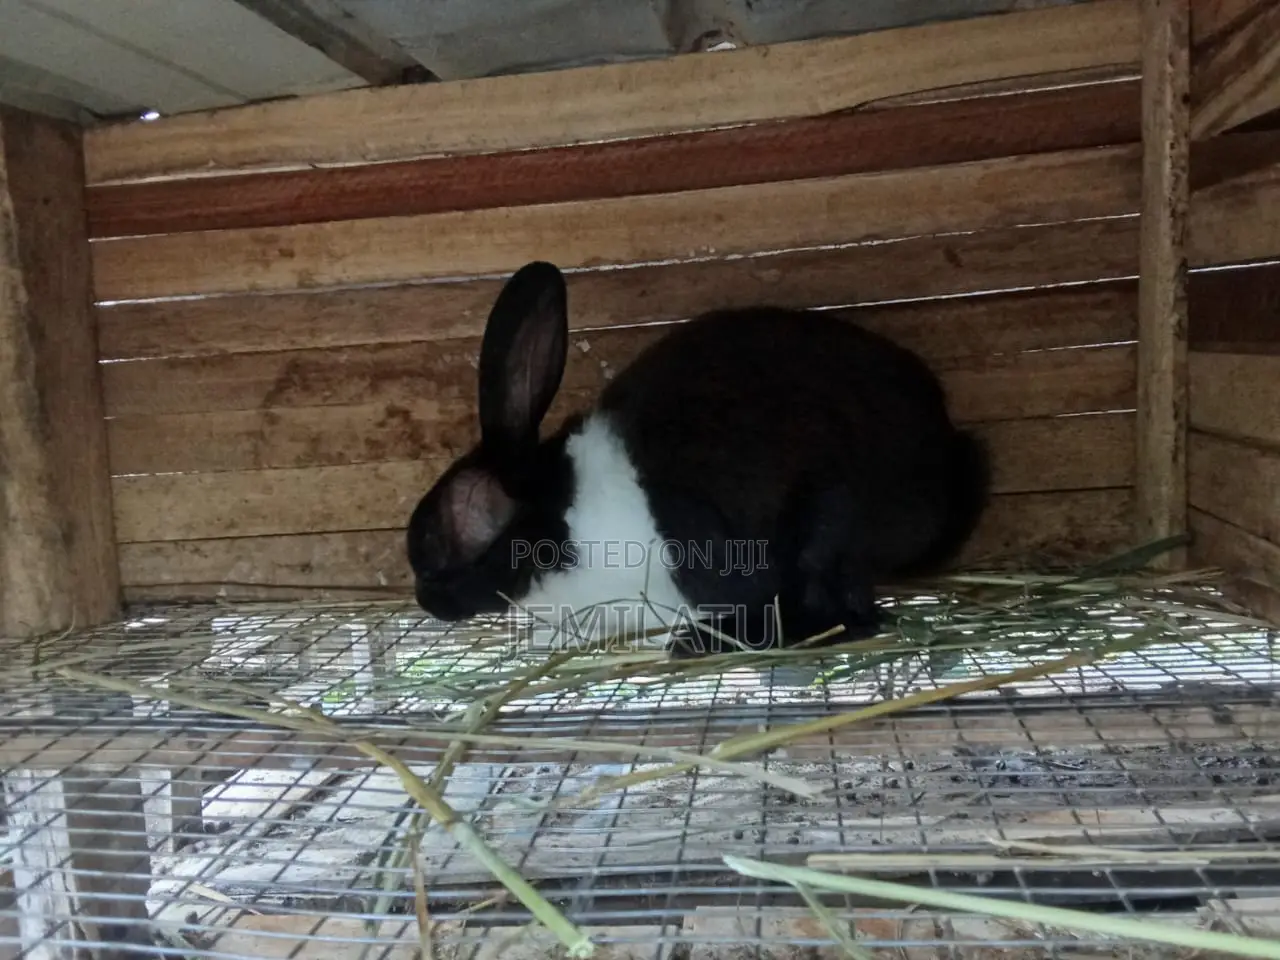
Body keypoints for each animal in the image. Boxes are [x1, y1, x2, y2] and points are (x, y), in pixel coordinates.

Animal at [405, 260, 990, 659]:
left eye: (431, 539)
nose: (425, 601)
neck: (554, 518)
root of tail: (947, 457)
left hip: (827, 517)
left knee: (844, 614)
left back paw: (697, 645)